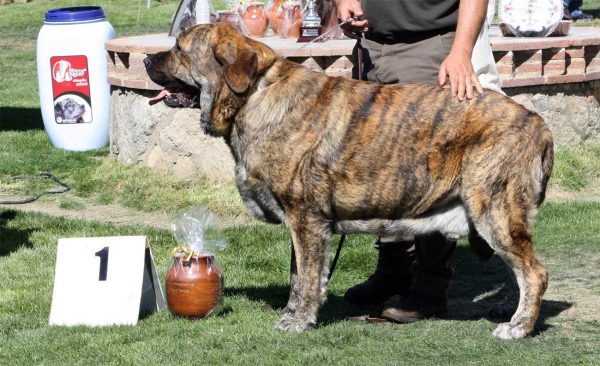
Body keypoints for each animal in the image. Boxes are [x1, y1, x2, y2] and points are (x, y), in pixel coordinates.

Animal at [145, 22, 552, 338]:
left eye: (179, 49)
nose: (148, 59)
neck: (254, 95)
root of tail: (537, 121)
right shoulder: (303, 224)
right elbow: (299, 276)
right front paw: (292, 312)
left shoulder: (306, 219)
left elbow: (309, 277)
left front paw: (299, 321)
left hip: (495, 211)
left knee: (534, 274)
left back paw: (518, 327)